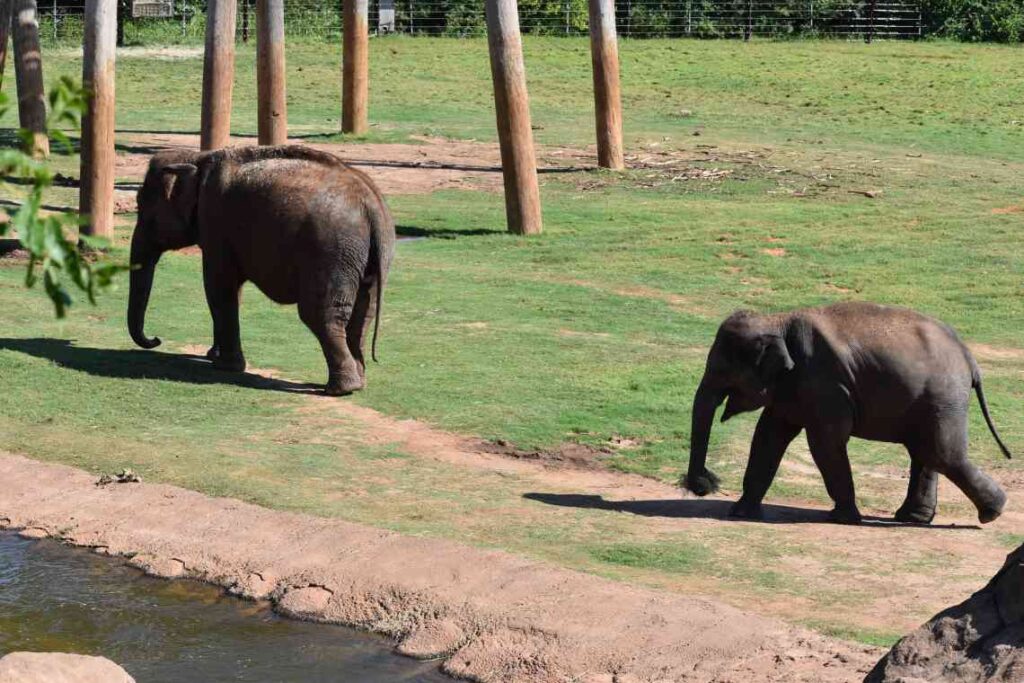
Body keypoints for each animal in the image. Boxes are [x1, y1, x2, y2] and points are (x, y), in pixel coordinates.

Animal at [124, 147, 395, 397]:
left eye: (141, 206)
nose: (156, 339)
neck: (197, 158)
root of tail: (371, 204)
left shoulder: (215, 222)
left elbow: (218, 287)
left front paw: (224, 366)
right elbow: (231, 289)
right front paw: (213, 356)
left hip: (331, 252)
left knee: (319, 313)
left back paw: (339, 389)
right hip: (364, 256)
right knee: (364, 312)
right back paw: (357, 383)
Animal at [684, 301, 1011, 528]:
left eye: (722, 371)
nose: (703, 485)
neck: (778, 319)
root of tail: (968, 356)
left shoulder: (824, 383)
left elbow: (825, 442)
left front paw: (842, 518)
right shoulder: (793, 386)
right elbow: (768, 437)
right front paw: (740, 513)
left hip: (943, 395)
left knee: (942, 452)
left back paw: (992, 513)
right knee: (926, 451)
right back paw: (913, 518)